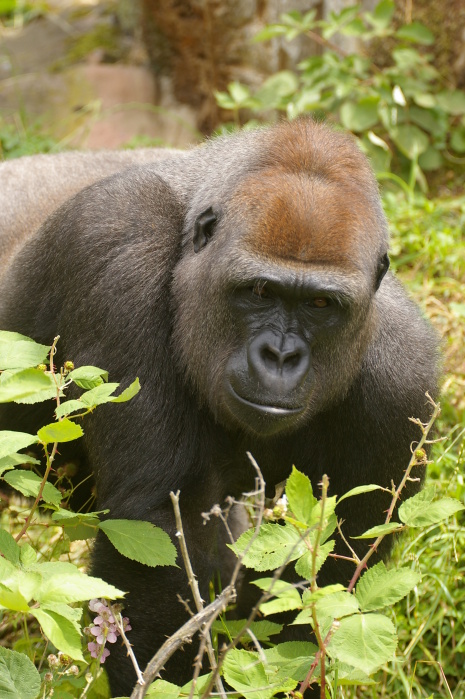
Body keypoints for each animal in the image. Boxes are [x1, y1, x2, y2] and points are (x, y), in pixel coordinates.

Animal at [0, 120, 436, 696]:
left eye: (321, 304)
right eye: (259, 291)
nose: (280, 357)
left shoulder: (406, 380)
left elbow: (330, 578)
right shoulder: (119, 236)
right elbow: (161, 529)